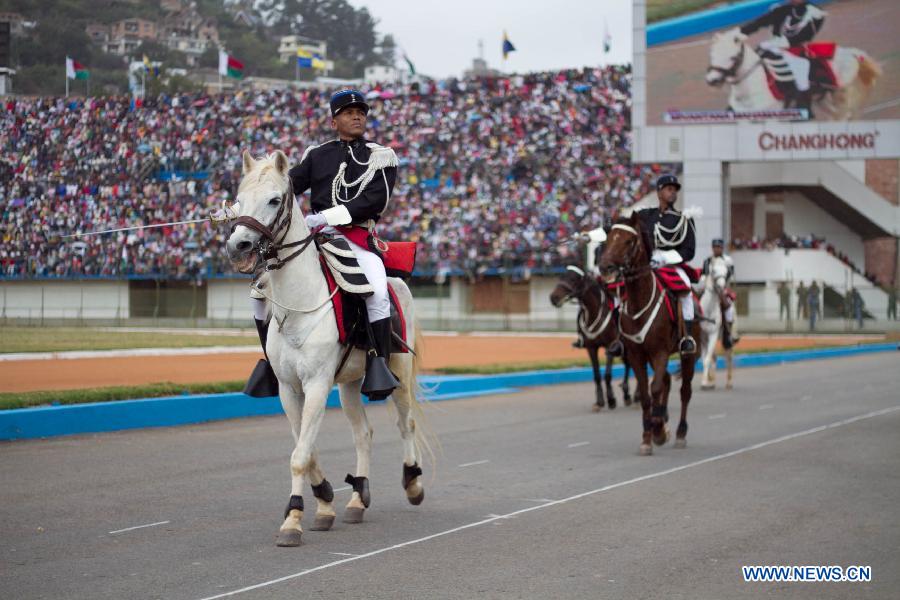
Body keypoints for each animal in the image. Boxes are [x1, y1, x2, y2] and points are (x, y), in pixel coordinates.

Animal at [229, 151, 432, 548]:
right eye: (239, 199)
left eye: (274, 200)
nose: (239, 246)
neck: (298, 303)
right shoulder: (290, 389)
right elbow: (306, 451)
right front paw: (323, 503)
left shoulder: (317, 384)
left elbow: (299, 455)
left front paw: (292, 521)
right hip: (351, 384)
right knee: (363, 434)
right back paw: (357, 498)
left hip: (398, 375)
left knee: (406, 423)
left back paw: (413, 482)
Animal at [548, 264, 632, 410]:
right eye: (561, 276)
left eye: (573, 279)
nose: (554, 298)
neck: (595, 311)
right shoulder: (591, 348)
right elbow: (597, 375)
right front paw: (599, 402)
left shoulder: (611, 346)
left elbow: (607, 375)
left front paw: (611, 399)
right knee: (629, 364)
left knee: (631, 365)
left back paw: (631, 396)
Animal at [596, 213, 704, 452]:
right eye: (608, 239)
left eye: (629, 241)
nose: (606, 267)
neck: (639, 301)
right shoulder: (637, 355)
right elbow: (646, 394)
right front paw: (648, 436)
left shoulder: (659, 352)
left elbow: (654, 389)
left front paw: (657, 429)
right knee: (667, 381)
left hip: (688, 355)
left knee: (684, 391)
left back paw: (679, 432)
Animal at [696, 255, 732, 392]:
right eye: (714, 270)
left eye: (726, 272)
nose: (721, 287)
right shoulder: (701, 336)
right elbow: (705, 358)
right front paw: (706, 381)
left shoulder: (713, 334)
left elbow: (707, 359)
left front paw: (705, 382)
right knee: (714, 357)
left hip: (725, 336)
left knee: (728, 355)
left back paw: (728, 383)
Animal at [704, 27, 880, 118]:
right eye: (712, 55)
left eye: (732, 57)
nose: (712, 80)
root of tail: (848, 53)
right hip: (821, 98)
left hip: (842, 91)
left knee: (846, 112)